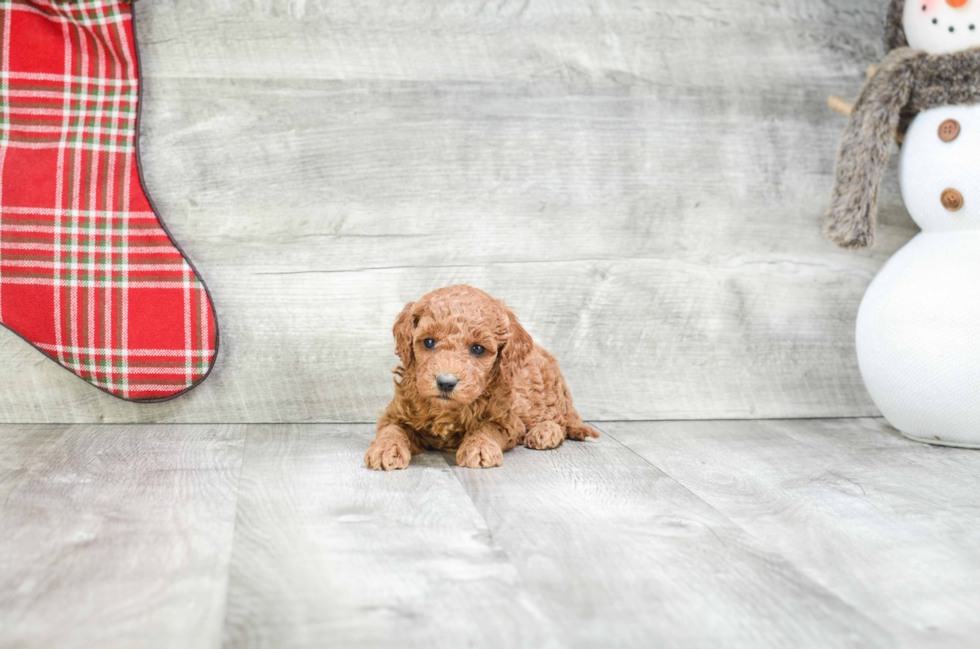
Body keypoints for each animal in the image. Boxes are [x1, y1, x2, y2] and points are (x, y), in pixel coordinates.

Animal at [366, 284, 596, 470]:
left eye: (477, 349)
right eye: (429, 342)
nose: (446, 382)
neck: (447, 411)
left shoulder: (506, 419)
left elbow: (487, 428)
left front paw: (479, 448)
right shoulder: (396, 414)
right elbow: (392, 429)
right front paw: (385, 449)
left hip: (542, 396)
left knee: (560, 420)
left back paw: (545, 432)